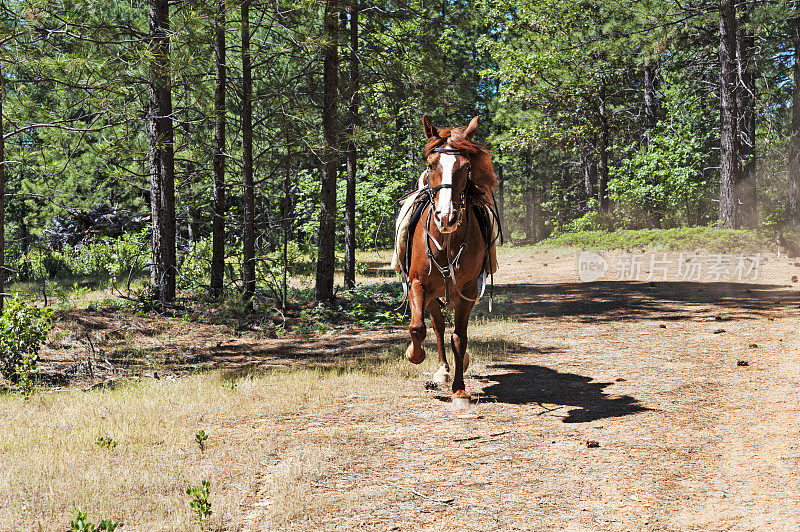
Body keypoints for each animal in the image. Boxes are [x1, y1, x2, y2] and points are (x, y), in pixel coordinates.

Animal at [404, 113, 496, 404]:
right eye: (431, 165)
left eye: (466, 167)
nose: (446, 216)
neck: (446, 242)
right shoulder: (418, 284)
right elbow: (418, 328)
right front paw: (415, 354)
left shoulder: (467, 292)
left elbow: (460, 338)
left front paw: (460, 388)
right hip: (433, 295)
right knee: (437, 325)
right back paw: (441, 369)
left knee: (451, 331)